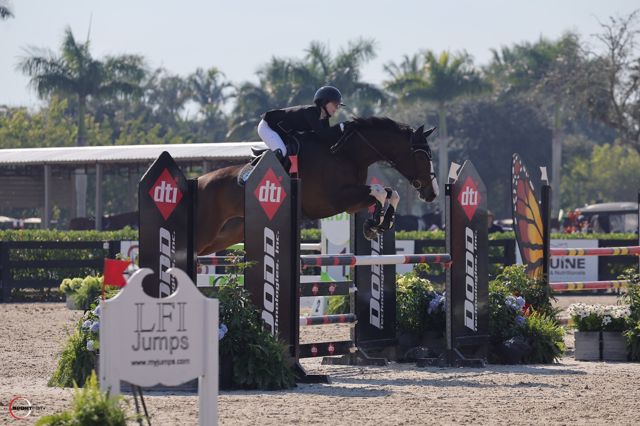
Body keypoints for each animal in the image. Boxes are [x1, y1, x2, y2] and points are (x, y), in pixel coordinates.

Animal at [195, 117, 439, 255]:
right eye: (422, 156)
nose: (432, 193)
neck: (345, 154)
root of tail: (198, 182)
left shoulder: (351, 201)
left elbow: (391, 193)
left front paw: (379, 223)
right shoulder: (336, 200)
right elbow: (379, 191)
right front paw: (375, 222)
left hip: (226, 235)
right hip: (206, 232)